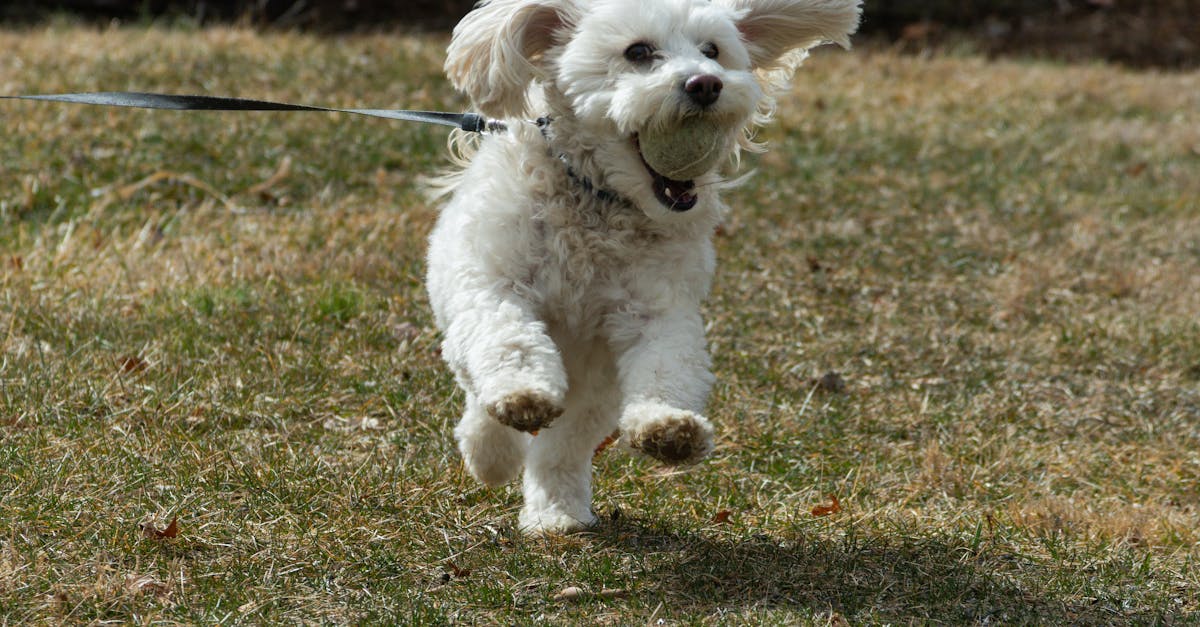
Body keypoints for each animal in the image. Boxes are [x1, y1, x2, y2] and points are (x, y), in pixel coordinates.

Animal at [427, 0, 859, 530]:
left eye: (712, 51)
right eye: (637, 52)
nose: (705, 84)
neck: (598, 200)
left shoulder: (657, 308)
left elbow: (668, 362)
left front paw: (668, 426)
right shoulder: (491, 287)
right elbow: (511, 341)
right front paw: (521, 395)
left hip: (595, 390)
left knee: (562, 449)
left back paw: (557, 513)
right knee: (480, 398)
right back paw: (491, 453)